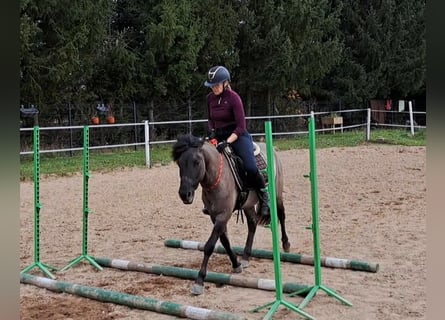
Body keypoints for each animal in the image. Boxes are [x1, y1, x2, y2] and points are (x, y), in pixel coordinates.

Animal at [172, 133, 290, 296]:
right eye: (179, 163)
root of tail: (272, 148)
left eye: (196, 162)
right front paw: (236, 264)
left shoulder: (224, 215)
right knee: (252, 224)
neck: (217, 177)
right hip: (248, 204)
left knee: (282, 215)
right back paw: (246, 256)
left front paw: (199, 281)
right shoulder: (215, 216)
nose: (185, 194)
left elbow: (209, 245)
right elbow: (225, 241)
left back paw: (286, 244)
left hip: (277, 194)